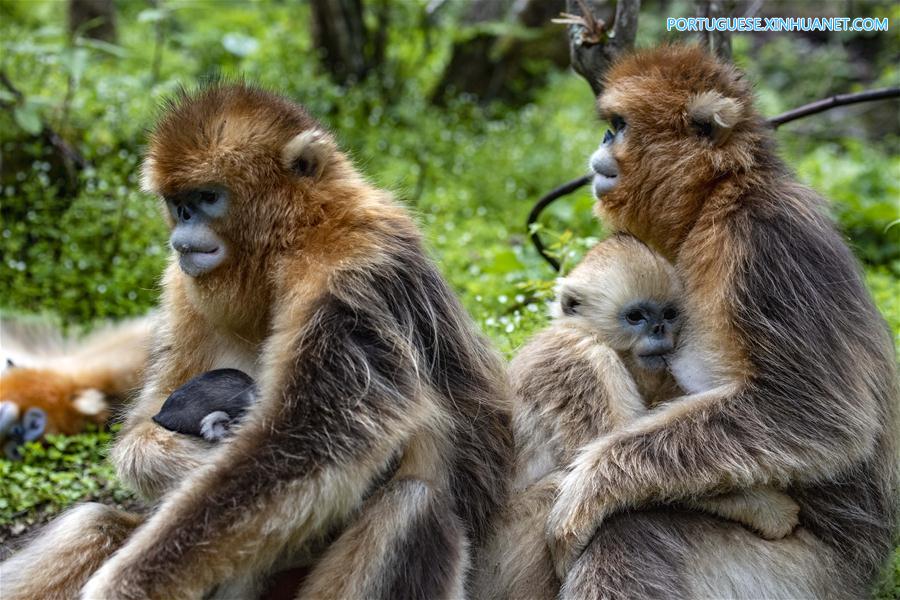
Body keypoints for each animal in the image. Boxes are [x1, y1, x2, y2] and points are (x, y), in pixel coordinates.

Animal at [0, 82, 512, 600]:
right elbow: (143, 427)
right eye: (178, 203)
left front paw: (125, 586)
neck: (294, 239)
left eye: (207, 197)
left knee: (411, 504)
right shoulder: (182, 286)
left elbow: (308, 441)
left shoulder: (351, 267)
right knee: (94, 522)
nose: (183, 230)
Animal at [474, 235, 800, 600]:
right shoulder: (586, 361)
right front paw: (767, 509)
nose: (658, 328)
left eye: (668, 314)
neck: (587, 333)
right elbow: (603, 468)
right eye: (635, 317)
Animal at [544, 45, 898, 599]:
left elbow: (818, 417)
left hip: (803, 575)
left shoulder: (760, 241)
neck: (718, 196)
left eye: (619, 126)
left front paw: (587, 485)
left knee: (628, 533)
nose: (602, 140)